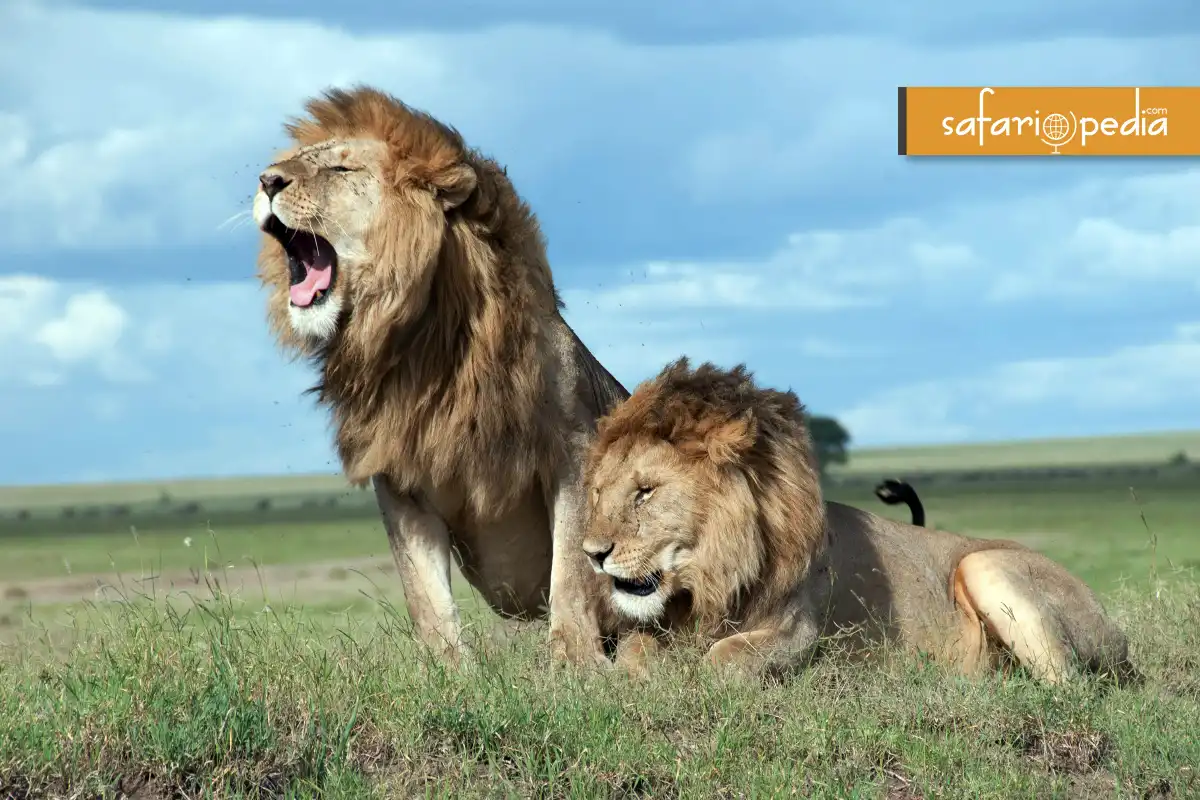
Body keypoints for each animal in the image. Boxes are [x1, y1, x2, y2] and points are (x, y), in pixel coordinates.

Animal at [253, 85, 628, 666]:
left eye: (340, 168)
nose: (267, 180)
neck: (421, 345)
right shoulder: (399, 477)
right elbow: (424, 593)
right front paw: (449, 672)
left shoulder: (574, 450)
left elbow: (571, 571)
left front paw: (575, 664)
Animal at [581, 358, 1135, 685]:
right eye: (599, 492)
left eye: (646, 492)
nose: (592, 554)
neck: (711, 577)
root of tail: (1117, 634)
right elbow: (634, 650)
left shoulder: (799, 631)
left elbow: (724, 659)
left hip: (986, 565)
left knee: (1070, 688)